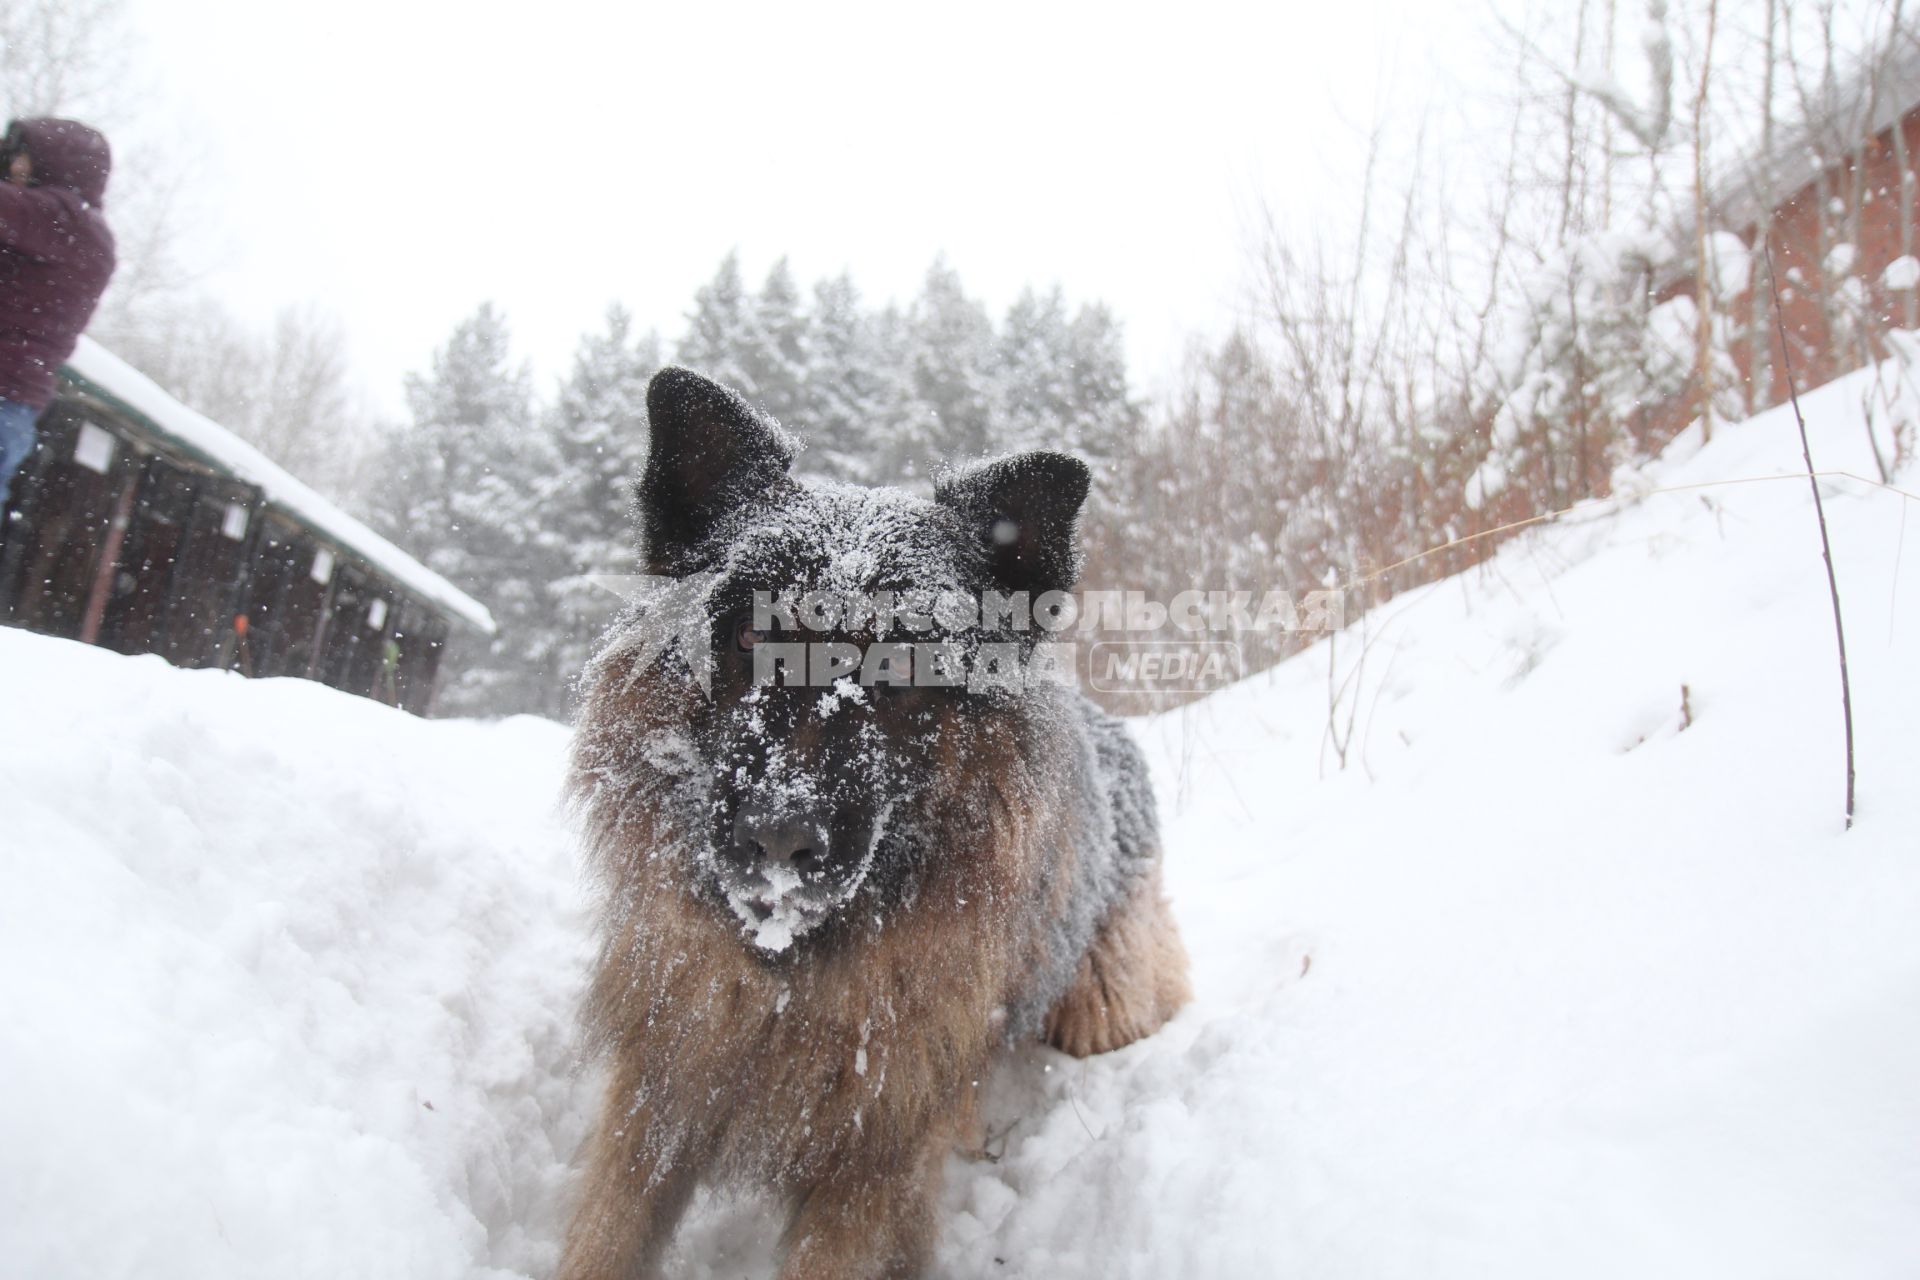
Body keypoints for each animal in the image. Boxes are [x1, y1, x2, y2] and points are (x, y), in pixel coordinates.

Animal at [556, 364, 1182, 1274]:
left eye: (903, 663)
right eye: (748, 635)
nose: (779, 836)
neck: (789, 981)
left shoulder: (875, 1161)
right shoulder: (657, 1095)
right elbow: (605, 1238)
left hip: (1101, 1000)